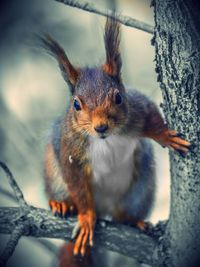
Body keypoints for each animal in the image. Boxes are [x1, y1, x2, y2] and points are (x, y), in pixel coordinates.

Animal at [40, 17, 189, 258]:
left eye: (118, 97)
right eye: (76, 104)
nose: (100, 127)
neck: (106, 139)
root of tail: (105, 209)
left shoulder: (138, 108)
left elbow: (152, 117)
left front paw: (166, 136)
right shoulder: (71, 149)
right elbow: (77, 182)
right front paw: (86, 218)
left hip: (139, 191)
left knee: (124, 215)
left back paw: (134, 221)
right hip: (55, 176)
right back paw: (62, 205)